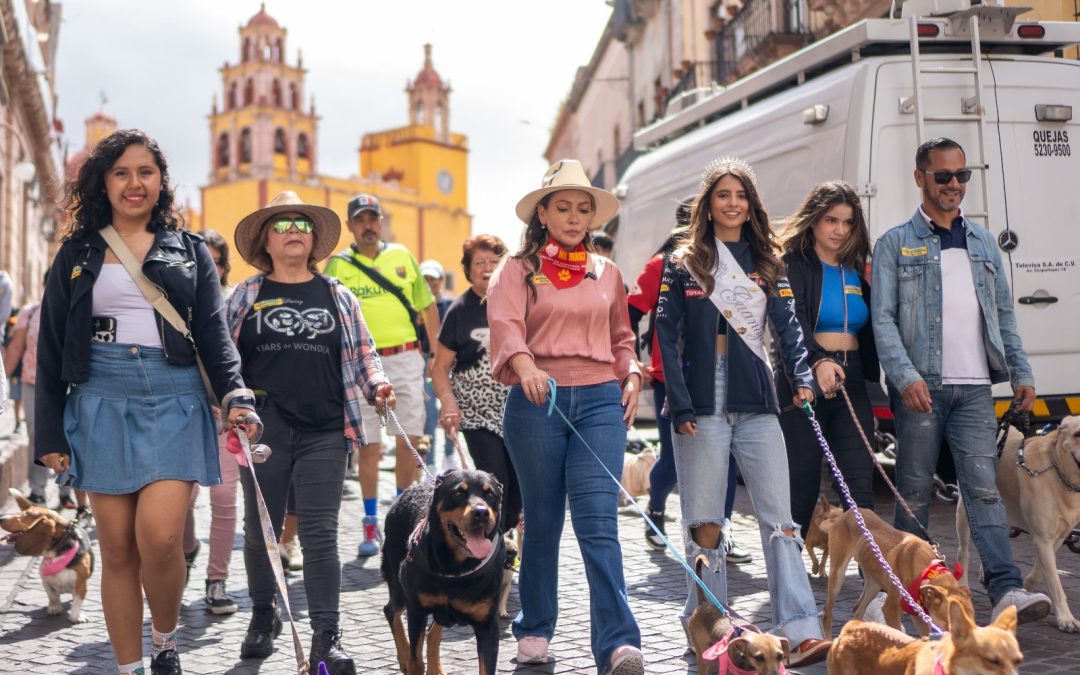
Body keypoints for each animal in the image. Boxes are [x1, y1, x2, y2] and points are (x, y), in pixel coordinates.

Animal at [0, 490, 95, 622]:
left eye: (27, 515)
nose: (1, 518)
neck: (55, 553)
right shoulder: (46, 581)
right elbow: (52, 596)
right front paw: (54, 608)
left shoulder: (81, 583)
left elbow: (77, 601)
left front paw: (76, 616)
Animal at [382, 468, 503, 673]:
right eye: (458, 493)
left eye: (490, 494)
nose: (481, 513)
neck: (455, 567)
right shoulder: (417, 610)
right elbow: (416, 660)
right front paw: (411, 661)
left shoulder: (487, 625)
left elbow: (486, 668)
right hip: (399, 586)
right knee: (391, 610)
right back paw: (404, 657)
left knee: (432, 632)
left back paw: (435, 669)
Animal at [820, 507, 976, 635]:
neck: (925, 571)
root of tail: (844, 514)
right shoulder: (891, 610)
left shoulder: (917, 614)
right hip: (838, 574)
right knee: (827, 612)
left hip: (873, 582)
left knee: (858, 609)